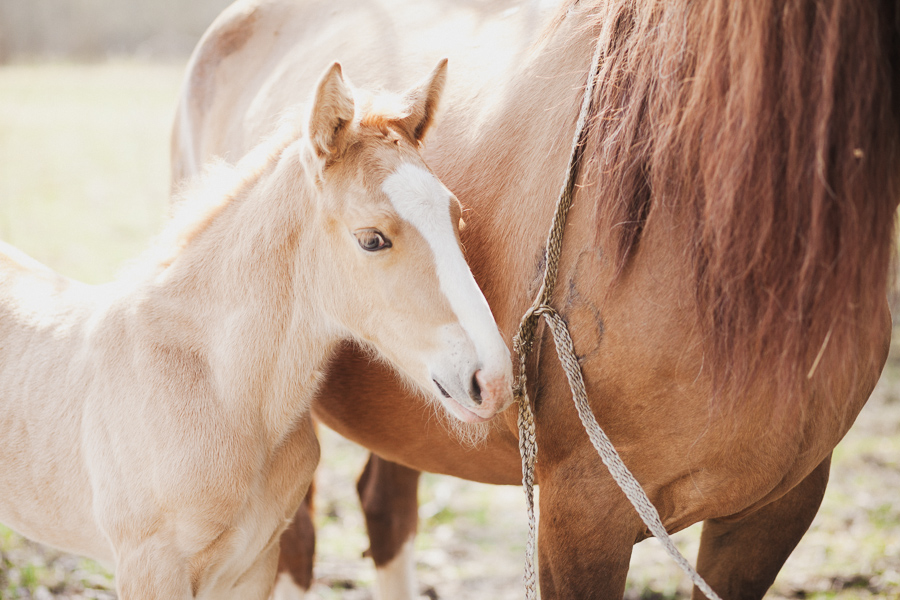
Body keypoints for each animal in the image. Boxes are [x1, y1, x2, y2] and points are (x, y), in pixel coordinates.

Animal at [0, 62, 512, 600]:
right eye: (372, 239)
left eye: (456, 217)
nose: (492, 378)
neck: (222, 393)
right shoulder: (150, 568)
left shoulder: (254, 565)